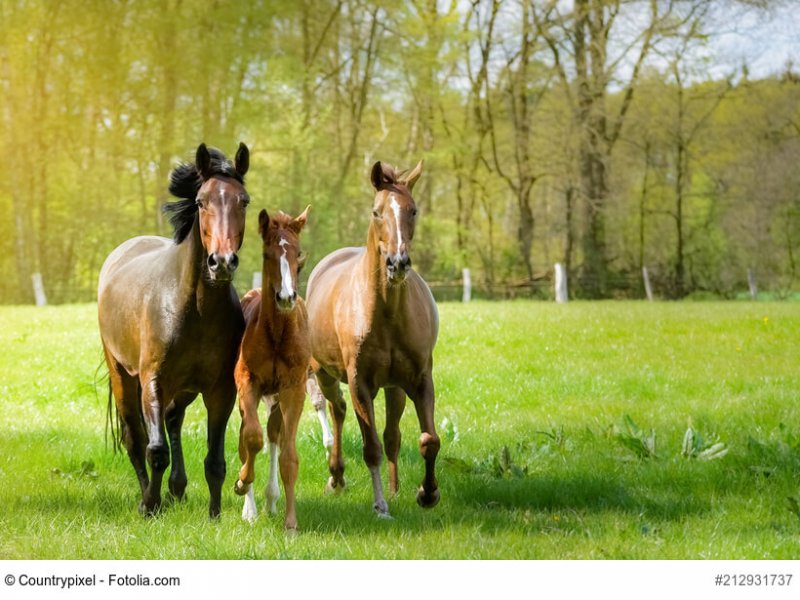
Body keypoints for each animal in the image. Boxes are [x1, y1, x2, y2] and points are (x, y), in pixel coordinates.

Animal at [97, 142, 250, 518]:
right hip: (122, 375)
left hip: (184, 388)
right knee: (135, 436)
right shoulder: (153, 379)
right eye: (201, 201)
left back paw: (177, 489)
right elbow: (155, 450)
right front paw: (150, 505)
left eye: (243, 200)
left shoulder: (220, 389)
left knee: (173, 419)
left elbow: (215, 461)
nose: (221, 262)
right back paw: (150, 495)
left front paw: (214, 515)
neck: (194, 308)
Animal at [305, 160, 440, 518]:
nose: (398, 263)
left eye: (413, 210)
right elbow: (371, 448)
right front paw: (380, 506)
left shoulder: (419, 380)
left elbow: (428, 440)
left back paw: (393, 487)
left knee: (392, 435)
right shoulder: (359, 383)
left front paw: (427, 493)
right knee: (337, 411)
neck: (387, 313)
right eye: (377, 212)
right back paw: (336, 476)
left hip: (395, 388)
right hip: (323, 373)